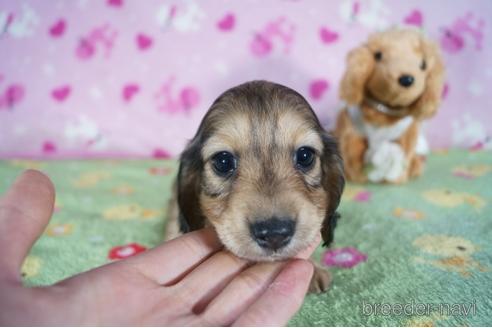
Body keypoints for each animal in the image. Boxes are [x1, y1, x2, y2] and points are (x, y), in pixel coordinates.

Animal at [334, 27, 446, 184]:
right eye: (378, 56)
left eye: (423, 65)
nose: (406, 79)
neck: (384, 113)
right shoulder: (352, 129)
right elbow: (352, 149)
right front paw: (356, 176)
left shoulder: (407, 133)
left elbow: (404, 151)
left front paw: (397, 178)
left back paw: (415, 166)